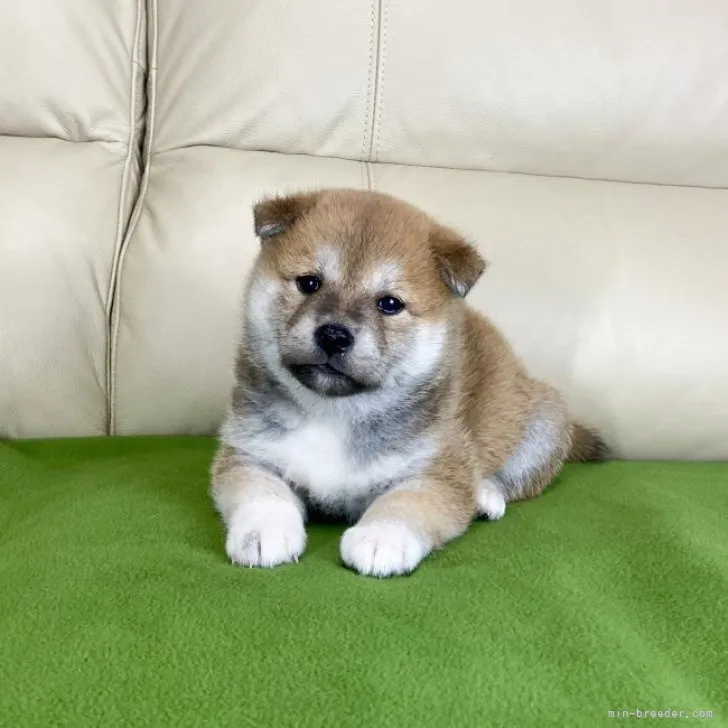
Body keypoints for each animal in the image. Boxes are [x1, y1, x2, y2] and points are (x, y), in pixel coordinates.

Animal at [209, 191, 604, 576]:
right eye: (308, 283)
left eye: (389, 304)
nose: (334, 335)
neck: (335, 412)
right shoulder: (250, 453)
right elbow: (262, 493)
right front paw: (264, 530)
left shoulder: (433, 471)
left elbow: (403, 503)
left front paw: (382, 538)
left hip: (543, 424)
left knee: (511, 478)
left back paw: (485, 495)